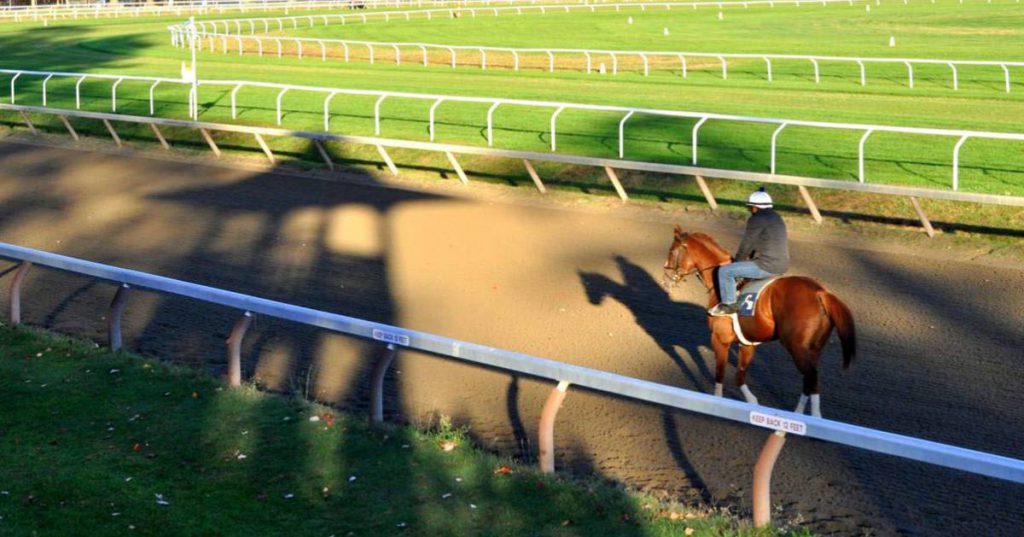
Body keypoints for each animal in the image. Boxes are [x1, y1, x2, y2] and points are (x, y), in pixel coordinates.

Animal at [659, 224, 851, 418]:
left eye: (671, 251)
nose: (665, 277)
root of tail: (821, 292)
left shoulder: (719, 339)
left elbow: (720, 374)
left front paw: (717, 403)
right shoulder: (747, 344)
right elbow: (739, 376)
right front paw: (752, 402)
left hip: (798, 348)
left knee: (811, 378)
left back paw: (813, 417)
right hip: (814, 349)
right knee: (809, 380)